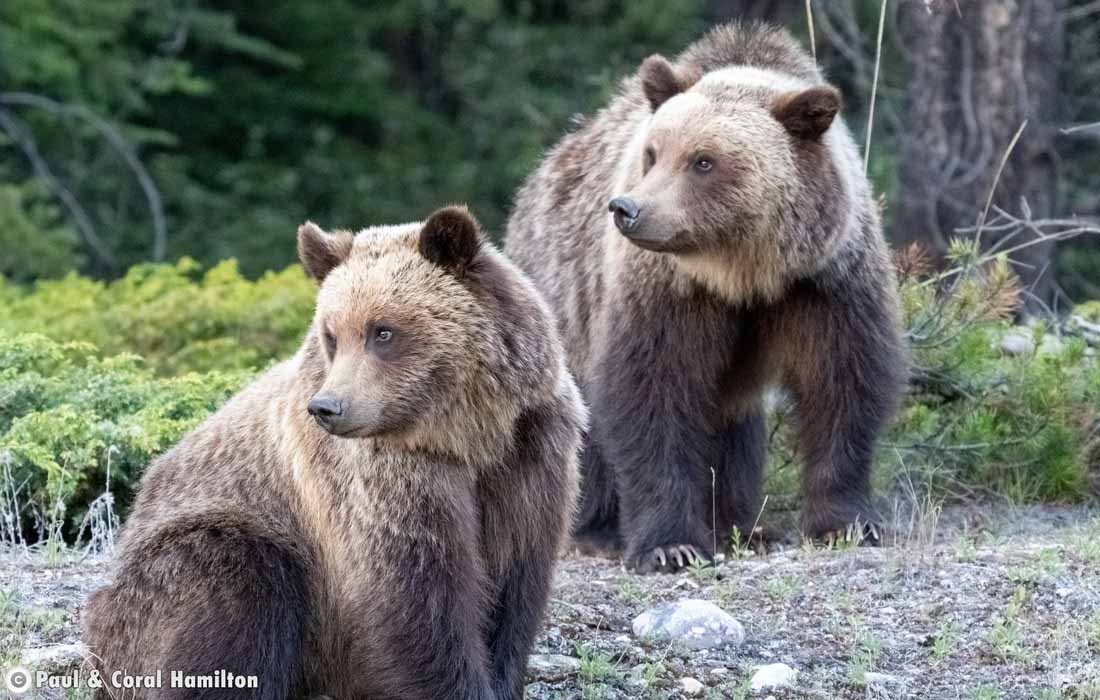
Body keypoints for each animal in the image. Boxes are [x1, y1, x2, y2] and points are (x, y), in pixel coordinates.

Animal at [84, 206, 585, 700]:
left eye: (382, 331)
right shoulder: (382, 477)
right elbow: (416, 594)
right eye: (331, 333)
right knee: (236, 586)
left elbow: (514, 582)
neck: (467, 435)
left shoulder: (529, 452)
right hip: (197, 552)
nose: (327, 407)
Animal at [503, 26, 902, 572]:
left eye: (704, 160)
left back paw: (743, 525)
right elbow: (653, 393)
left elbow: (841, 384)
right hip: (560, 300)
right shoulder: (665, 291)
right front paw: (671, 545)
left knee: (735, 421)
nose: (628, 209)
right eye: (653, 152)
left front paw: (847, 523)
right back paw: (597, 529)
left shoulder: (823, 281)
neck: (742, 273)